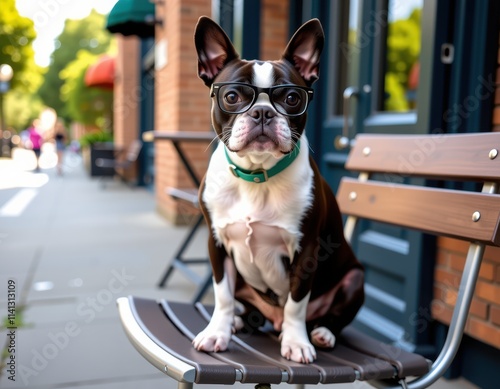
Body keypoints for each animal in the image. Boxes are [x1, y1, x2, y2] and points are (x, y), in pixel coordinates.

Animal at [194, 16, 364, 362]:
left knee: (330, 315)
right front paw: (217, 331)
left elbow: (296, 304)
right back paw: (237, 322)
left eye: (292, 98)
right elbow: (222, 295)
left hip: (356, 279)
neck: (257, 175)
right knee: (245, 306)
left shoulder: (306, 249)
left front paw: (297, 342)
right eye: (232, 97)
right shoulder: (216, 243)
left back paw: (322, 332)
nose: (262, 112)